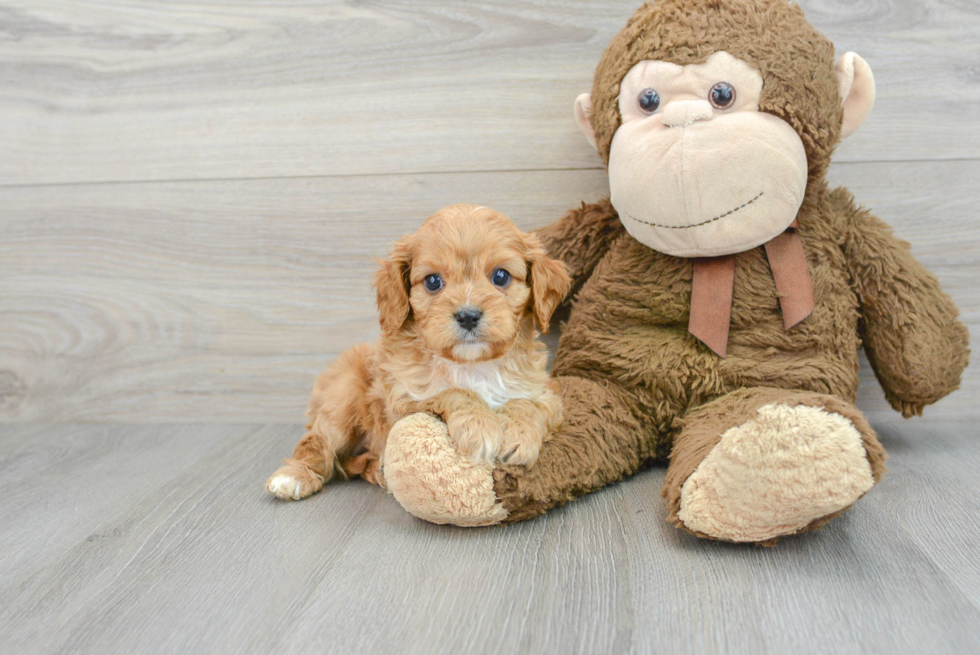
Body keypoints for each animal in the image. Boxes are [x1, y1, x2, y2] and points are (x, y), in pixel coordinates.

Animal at [268, 205, 576, 502]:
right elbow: (453, 392)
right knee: (318, 443)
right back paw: (294, 476)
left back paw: (376, 471)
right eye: (432, 281)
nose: (467, 316)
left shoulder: (544, 392)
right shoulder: (403, 400)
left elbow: (528, 403)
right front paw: (479, 426)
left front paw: (518, 435)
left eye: (500, 276)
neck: (471, 364)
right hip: (342, 398)